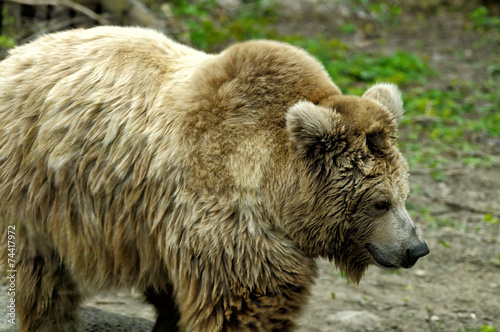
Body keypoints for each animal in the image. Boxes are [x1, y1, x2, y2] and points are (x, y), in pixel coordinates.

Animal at [0, 26, 428, 332]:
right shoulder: (223, 210)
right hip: (37, 189)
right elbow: (246, 300)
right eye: (380, 202)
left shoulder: (165, 226)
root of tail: (19, 53)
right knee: (42, 276)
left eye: (404, 195)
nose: (416, 248)